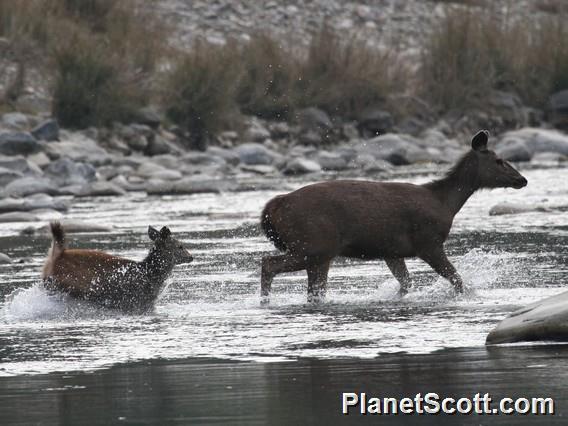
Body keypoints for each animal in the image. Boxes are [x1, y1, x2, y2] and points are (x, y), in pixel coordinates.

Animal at [42, 223, 193, 312]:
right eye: (180, 246)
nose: (191, 257)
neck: (150, 274)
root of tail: (56, 256)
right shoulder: (138, 300)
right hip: (69, 285)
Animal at [260, 131, 528, 302]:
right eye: (499, 160)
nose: (522, 179)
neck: (445, 203)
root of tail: (272, 208)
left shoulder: (392, 250)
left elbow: (406, 283)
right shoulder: (428, 242)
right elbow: (457, 279)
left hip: (318, 252)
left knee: (313, 290)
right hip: (314, 244)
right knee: (268, 263)